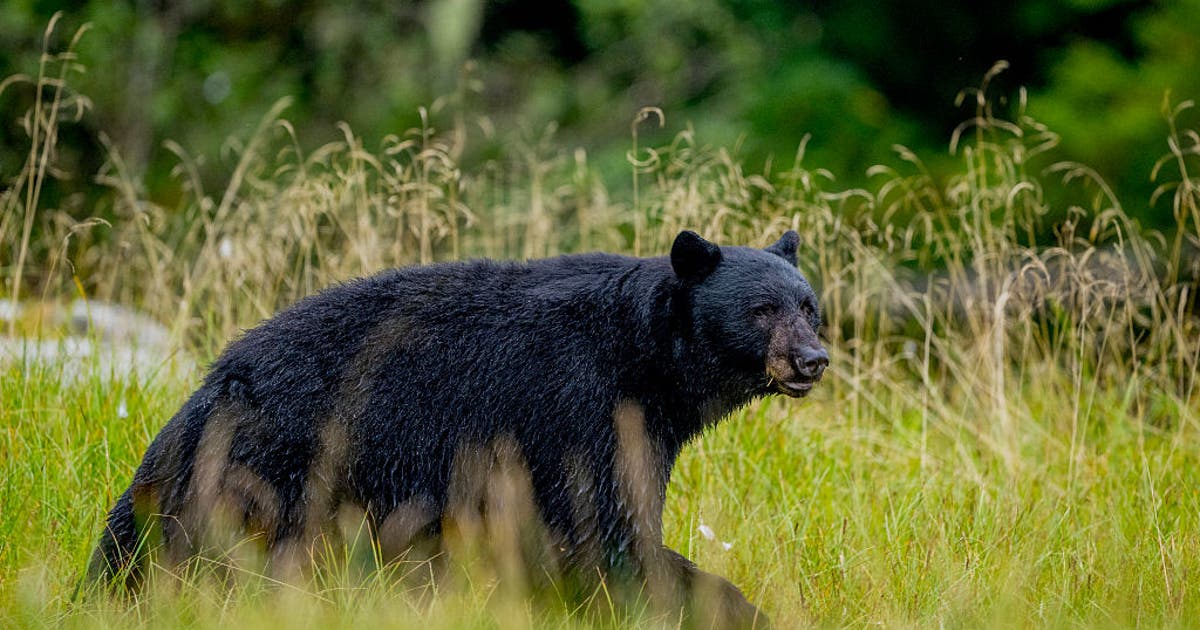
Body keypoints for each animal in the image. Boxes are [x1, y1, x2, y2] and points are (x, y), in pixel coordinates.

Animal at [87, 229, 827, 628]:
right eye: (762, 309)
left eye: (809, 306)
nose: (812, 359)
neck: (647, 359)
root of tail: (210, 387)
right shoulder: (578, 406)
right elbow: (601, 529)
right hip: (278, 464)